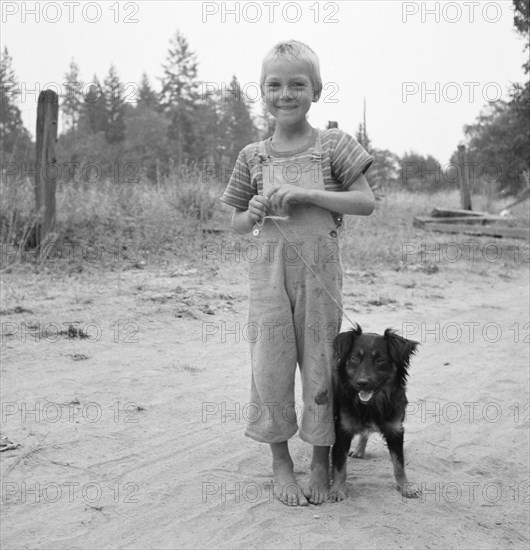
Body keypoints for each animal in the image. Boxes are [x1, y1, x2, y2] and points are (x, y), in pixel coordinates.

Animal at [328, 326, 418, 502]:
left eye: (380, 360)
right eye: (355, 358)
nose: (362, 383)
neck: (371, 404)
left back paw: (359, 450)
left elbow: (399, 463)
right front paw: (337, 490)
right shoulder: (342, 430)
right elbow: (340, 465)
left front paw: (405, 487)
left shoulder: (395, 430)